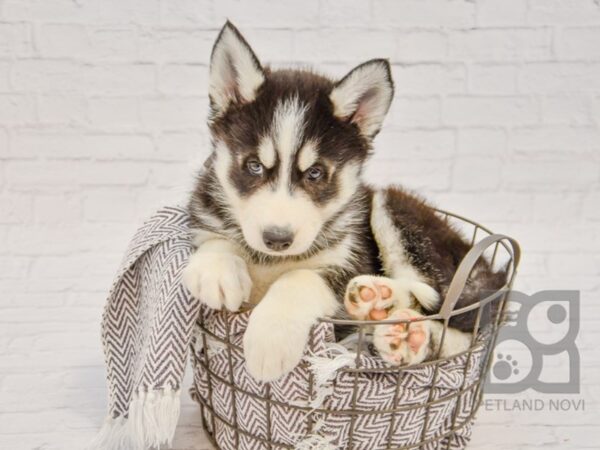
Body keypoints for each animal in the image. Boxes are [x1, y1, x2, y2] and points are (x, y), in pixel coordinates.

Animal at [184, 22, 506, 382]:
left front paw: (271, 335)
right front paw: (217, 270)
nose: (277, 239)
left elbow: (301, 278)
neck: (271, 262)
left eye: (315, 173)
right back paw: (380, 306)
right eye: (254, 166)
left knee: (452, 318)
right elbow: (215, 240)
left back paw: (407, 334)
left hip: (393, 208)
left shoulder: (350, 257)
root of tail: (484, 264)